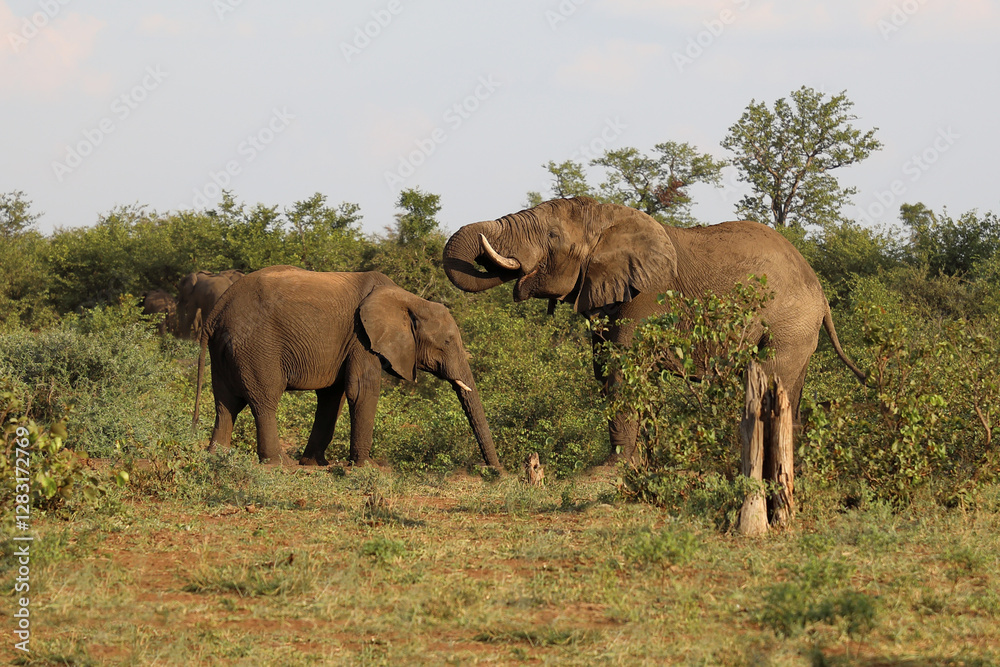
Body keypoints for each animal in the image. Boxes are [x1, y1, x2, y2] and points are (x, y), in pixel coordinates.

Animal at [192, 265, 502, 470]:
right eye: (448, 342)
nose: (494, 473)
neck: (408, 299)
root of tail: (217, 312)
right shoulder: (361, 338)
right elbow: (362, 391)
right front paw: (367, 467)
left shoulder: (348, 344)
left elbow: (334, 396)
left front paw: (316, 464)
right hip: (256, 346)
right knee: (264, 400)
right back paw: (278, 465)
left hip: (226, 349)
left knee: (225, 404)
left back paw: (216, 457)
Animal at [443, 196, 866, 463]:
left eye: (552, 238)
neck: (609, 217)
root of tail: (821, 292)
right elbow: (608, 370)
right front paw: (641, 463)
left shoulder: (649, 295)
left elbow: (621, 371)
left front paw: (612, 468)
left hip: (789, 322)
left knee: (769, 374)